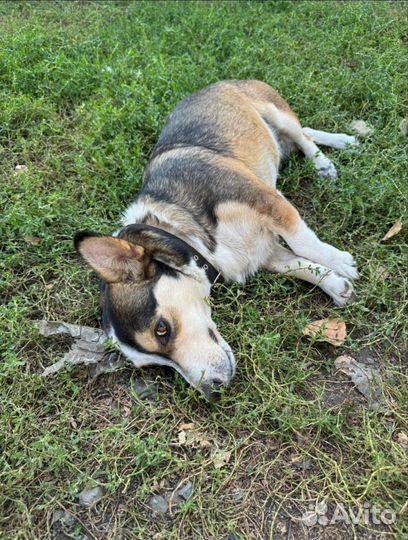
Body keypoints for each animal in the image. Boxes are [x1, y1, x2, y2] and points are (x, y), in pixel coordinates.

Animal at [75, 80, 358, 400]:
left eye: (162, 329)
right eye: (153, 365)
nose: (213, 390)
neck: (186, 234)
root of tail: (212, 85)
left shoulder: (268, 201)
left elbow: (304, 243)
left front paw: (340, 262)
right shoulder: (266, 254)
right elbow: (301, 266)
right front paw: (336, 286)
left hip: (275, 111)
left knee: (302, 135)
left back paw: (325, 161)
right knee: (303, 133)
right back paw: (345, 141)